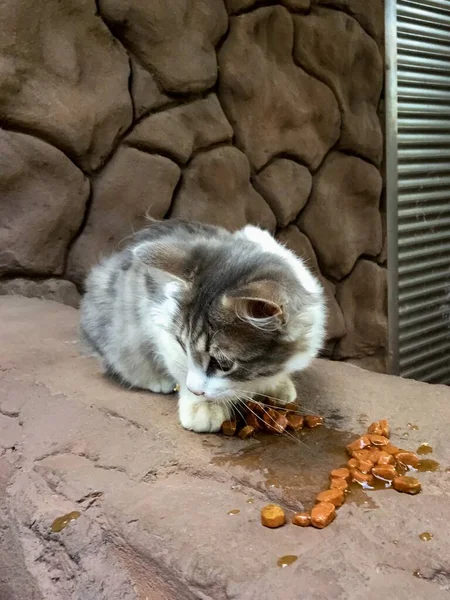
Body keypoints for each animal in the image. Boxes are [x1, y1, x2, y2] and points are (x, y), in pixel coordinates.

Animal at [81, 219, 326, 432]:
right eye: (182, 345)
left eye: (222, 363)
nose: (195, 390)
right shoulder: (161, 325)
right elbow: (183, 370)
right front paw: (203, 406)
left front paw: (277, 385)